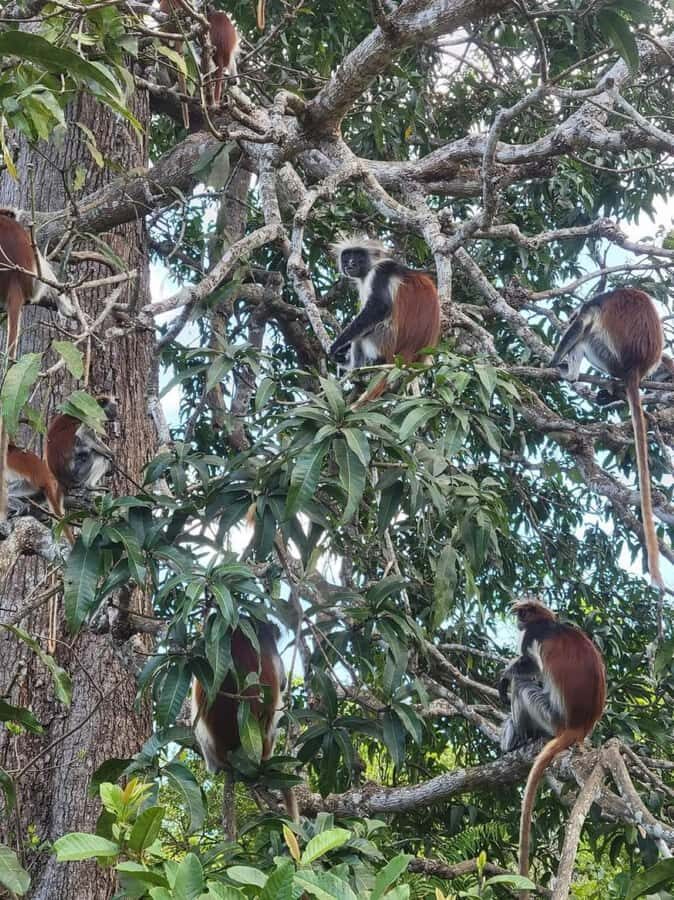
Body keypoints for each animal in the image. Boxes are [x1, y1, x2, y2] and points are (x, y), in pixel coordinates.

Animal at [330, 238, 441, 402]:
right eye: (347, 256)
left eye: (357, 255)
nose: (350, 263)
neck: (368, 270)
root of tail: (411, 350)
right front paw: (342, 349)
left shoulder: (380, 272)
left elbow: (379, 307)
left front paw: (338, 345)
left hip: (383, 340)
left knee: (361, 336)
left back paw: (357, 371)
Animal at [506, 599, 605, 898]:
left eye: (522, 613)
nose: (517, 620)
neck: (550, 623)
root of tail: (578, 727)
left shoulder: (531, 637)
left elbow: (526, 667)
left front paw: (505, 674)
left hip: (550, 716)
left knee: (523, 686)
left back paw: (521, 737)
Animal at [550, 288, 664, 590]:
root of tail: (636, 367)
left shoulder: (594, 305)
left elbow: (579, 325)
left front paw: (551, 362)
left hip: (608, 354)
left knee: (585, 334)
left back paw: (570, 373)